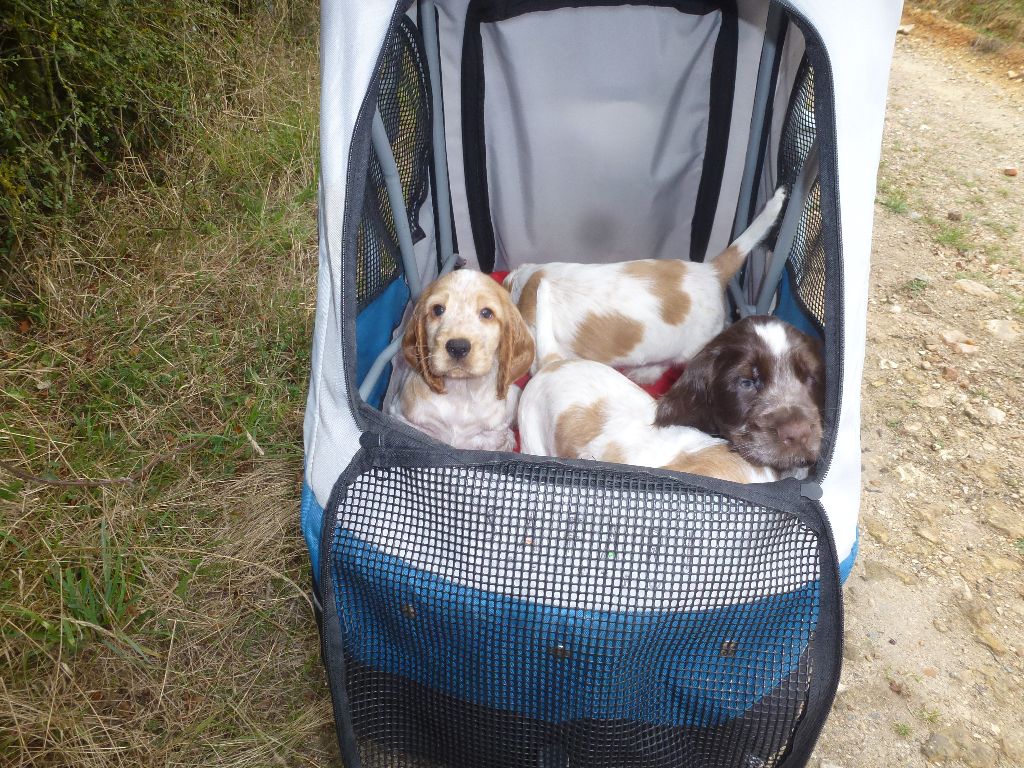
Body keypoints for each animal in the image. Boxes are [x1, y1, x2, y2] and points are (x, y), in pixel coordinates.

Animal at [385, 268, 536, 450]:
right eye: (438, 309)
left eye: (486, 313)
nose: (457, 348)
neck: (461, 391)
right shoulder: (405, 420)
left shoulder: (492, 437)